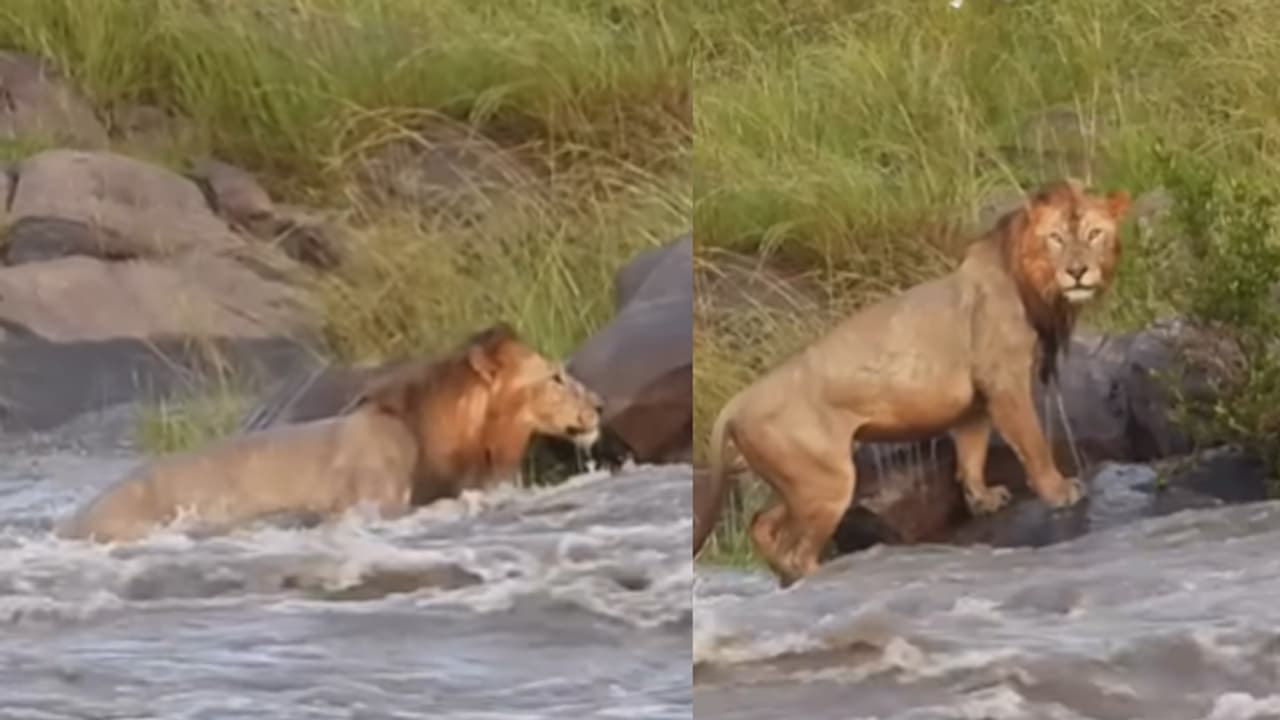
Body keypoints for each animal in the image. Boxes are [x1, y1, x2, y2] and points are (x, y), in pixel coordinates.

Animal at [693, 180, 1130, 587]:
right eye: (1055, 237)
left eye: (1094, 233)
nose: (1077, 272)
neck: (1036, 287)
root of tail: (737, 401)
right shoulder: (1005, 381)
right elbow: (1034, 443)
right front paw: (1059, 491)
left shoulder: (975, 403)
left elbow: (971, 454)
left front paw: (984, 499)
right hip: (826, 481)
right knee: (795, 549)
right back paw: (826, 575)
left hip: (799, 481)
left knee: (761, 524)